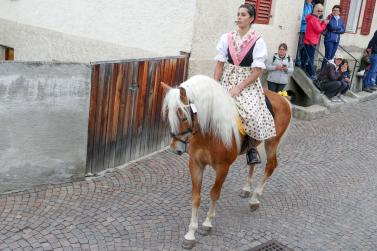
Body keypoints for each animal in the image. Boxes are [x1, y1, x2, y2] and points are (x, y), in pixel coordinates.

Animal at [162, 74, 290, 249]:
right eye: (169, 114)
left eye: (183, 116)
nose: (175, 148)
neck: (208, 133)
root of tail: (283, 98)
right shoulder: (195, 164)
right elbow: (196, 197)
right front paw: (190, 234)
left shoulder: (223, 168)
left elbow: (214, 193)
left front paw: (207, 224)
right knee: (253, 163)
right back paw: (247, 189)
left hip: (272, 142)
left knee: (271, 166)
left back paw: (255, 198)